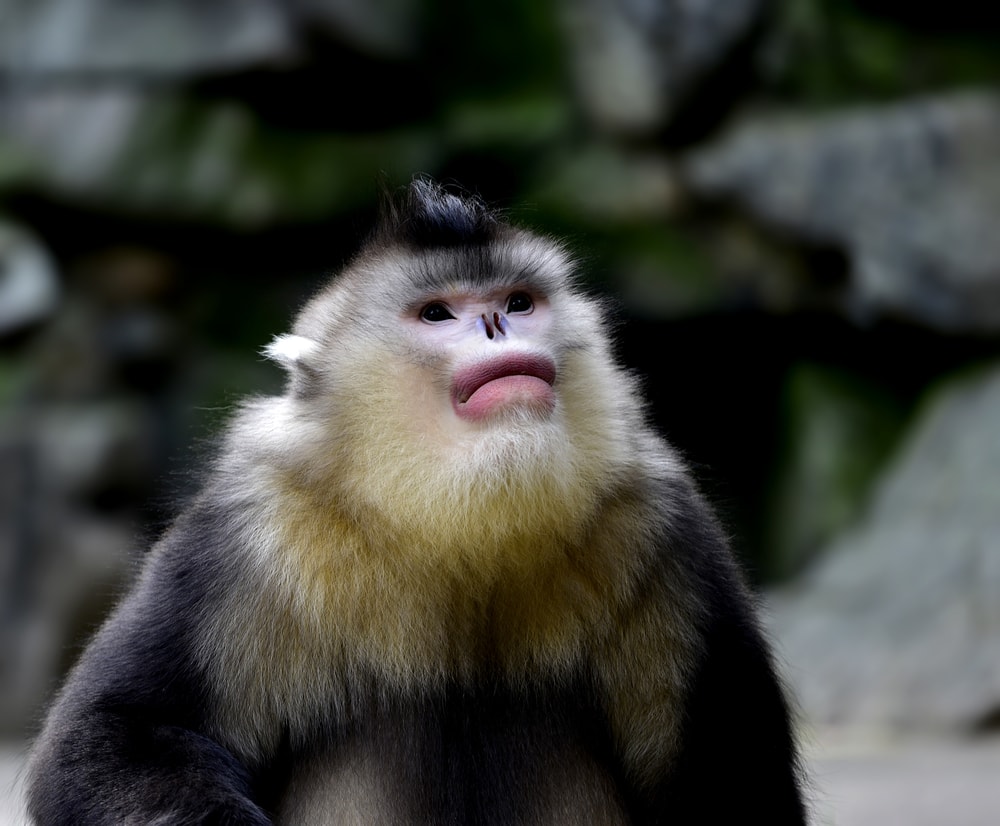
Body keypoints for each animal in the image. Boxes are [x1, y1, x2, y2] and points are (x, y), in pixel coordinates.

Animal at [26, 178, 806, 825]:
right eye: (437, 314)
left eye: (518, 303)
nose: (496, 327)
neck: (462, 521)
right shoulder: (252, 522)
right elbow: (110, 737)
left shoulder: (660, 519)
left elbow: (729, 770)